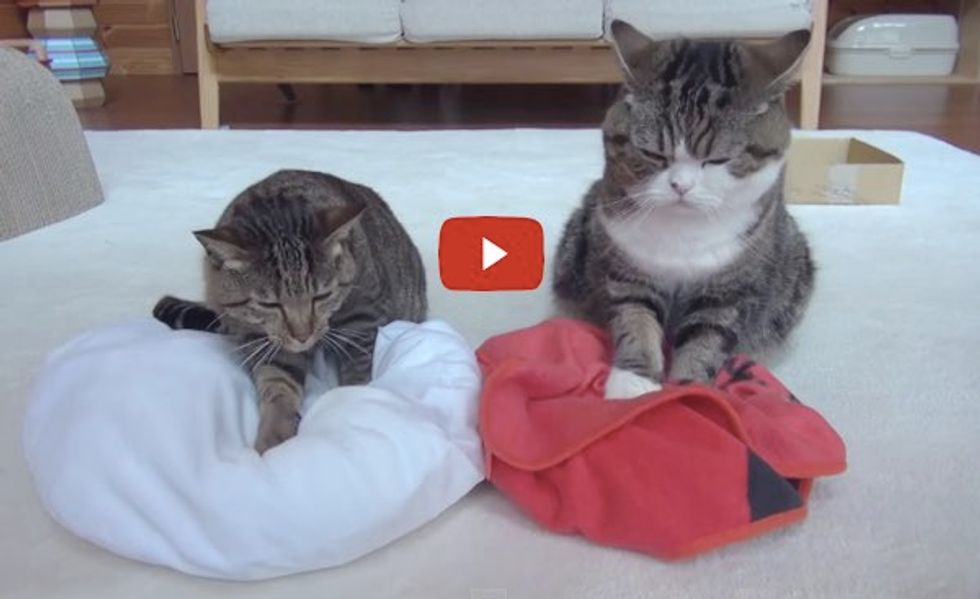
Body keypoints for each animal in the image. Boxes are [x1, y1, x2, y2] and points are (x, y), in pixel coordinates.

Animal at [153, 169, 424, 450]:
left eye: (322, 295)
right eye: (269, 304)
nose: (303, 336)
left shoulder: (364, 318)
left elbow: (358, 371)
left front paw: (350, 401)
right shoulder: (264, 340)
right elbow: (278, 387)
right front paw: (273, 440)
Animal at [556, 21, 816, 400]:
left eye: (718, 159)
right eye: (653, 154)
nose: (680, 186)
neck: (683, 233)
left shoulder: (727, 291)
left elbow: (706, 340)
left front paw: (690, 392)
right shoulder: (628, 269)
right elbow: (636, 319)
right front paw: (634, 386)